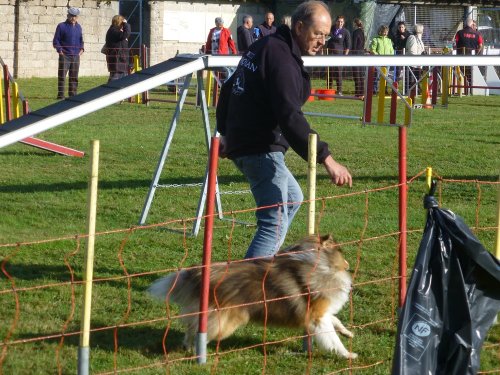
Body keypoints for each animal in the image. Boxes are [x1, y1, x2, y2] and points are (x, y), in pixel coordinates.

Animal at [146, 234, 358, 360]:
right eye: (341, 251)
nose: (349, 265)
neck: (319, 263)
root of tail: (198, 273)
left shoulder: (319, 313)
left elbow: (335, 320)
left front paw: (348, 333)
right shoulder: (317, 316)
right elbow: (332, 339)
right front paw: (348, 354)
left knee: (191, 328)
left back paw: (187, 347)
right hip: (226, 321)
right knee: (201, 331)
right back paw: (197, 355)